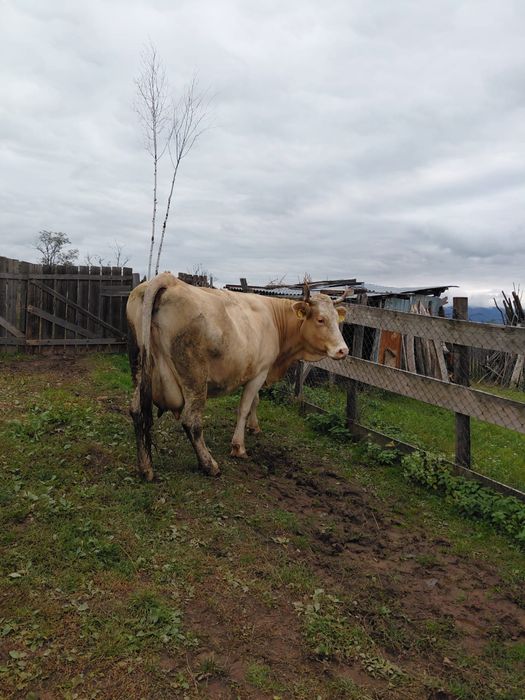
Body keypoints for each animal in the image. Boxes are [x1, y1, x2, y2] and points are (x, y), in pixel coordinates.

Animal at [126, 272, 349, 480]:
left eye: (336, 319)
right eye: (320, 319)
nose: (343, 350)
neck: (274, 319)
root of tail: (168, 279)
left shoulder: (253, 371)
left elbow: (255, 401)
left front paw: (254, 427)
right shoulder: (260, 372)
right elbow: (244, 407)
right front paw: (238, 446)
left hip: (139, 369)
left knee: (137, 411)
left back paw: (146, 468)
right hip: (195, 378)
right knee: (191, 421)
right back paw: (209, 465)